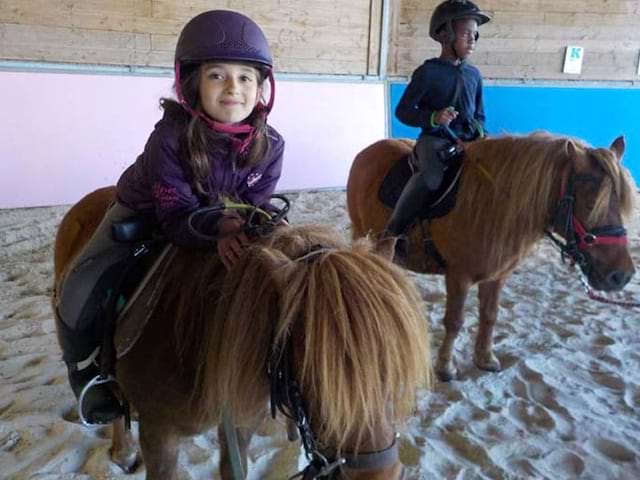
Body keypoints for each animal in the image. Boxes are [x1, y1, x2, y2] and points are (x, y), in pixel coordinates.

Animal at [348, 133, 636, 380]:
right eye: (591, 204)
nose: (621, 275)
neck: (495, 203)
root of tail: (366, 153)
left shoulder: (497, 276)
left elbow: (490, 315)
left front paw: (485, 358)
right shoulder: (458, 276)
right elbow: (455, 321)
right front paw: (445, 367)